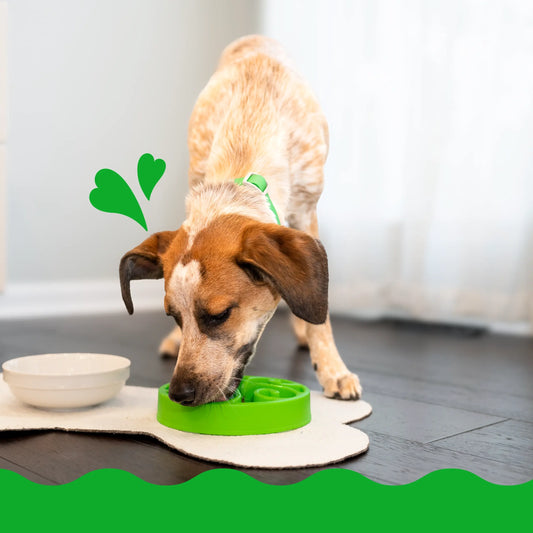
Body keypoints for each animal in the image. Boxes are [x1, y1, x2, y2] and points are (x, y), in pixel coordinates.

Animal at [119, 35, 362, 406]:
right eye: (173, 316)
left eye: (219, 316)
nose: (178, 393)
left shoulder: (306, 212)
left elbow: (320, 317)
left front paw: (333, 369)